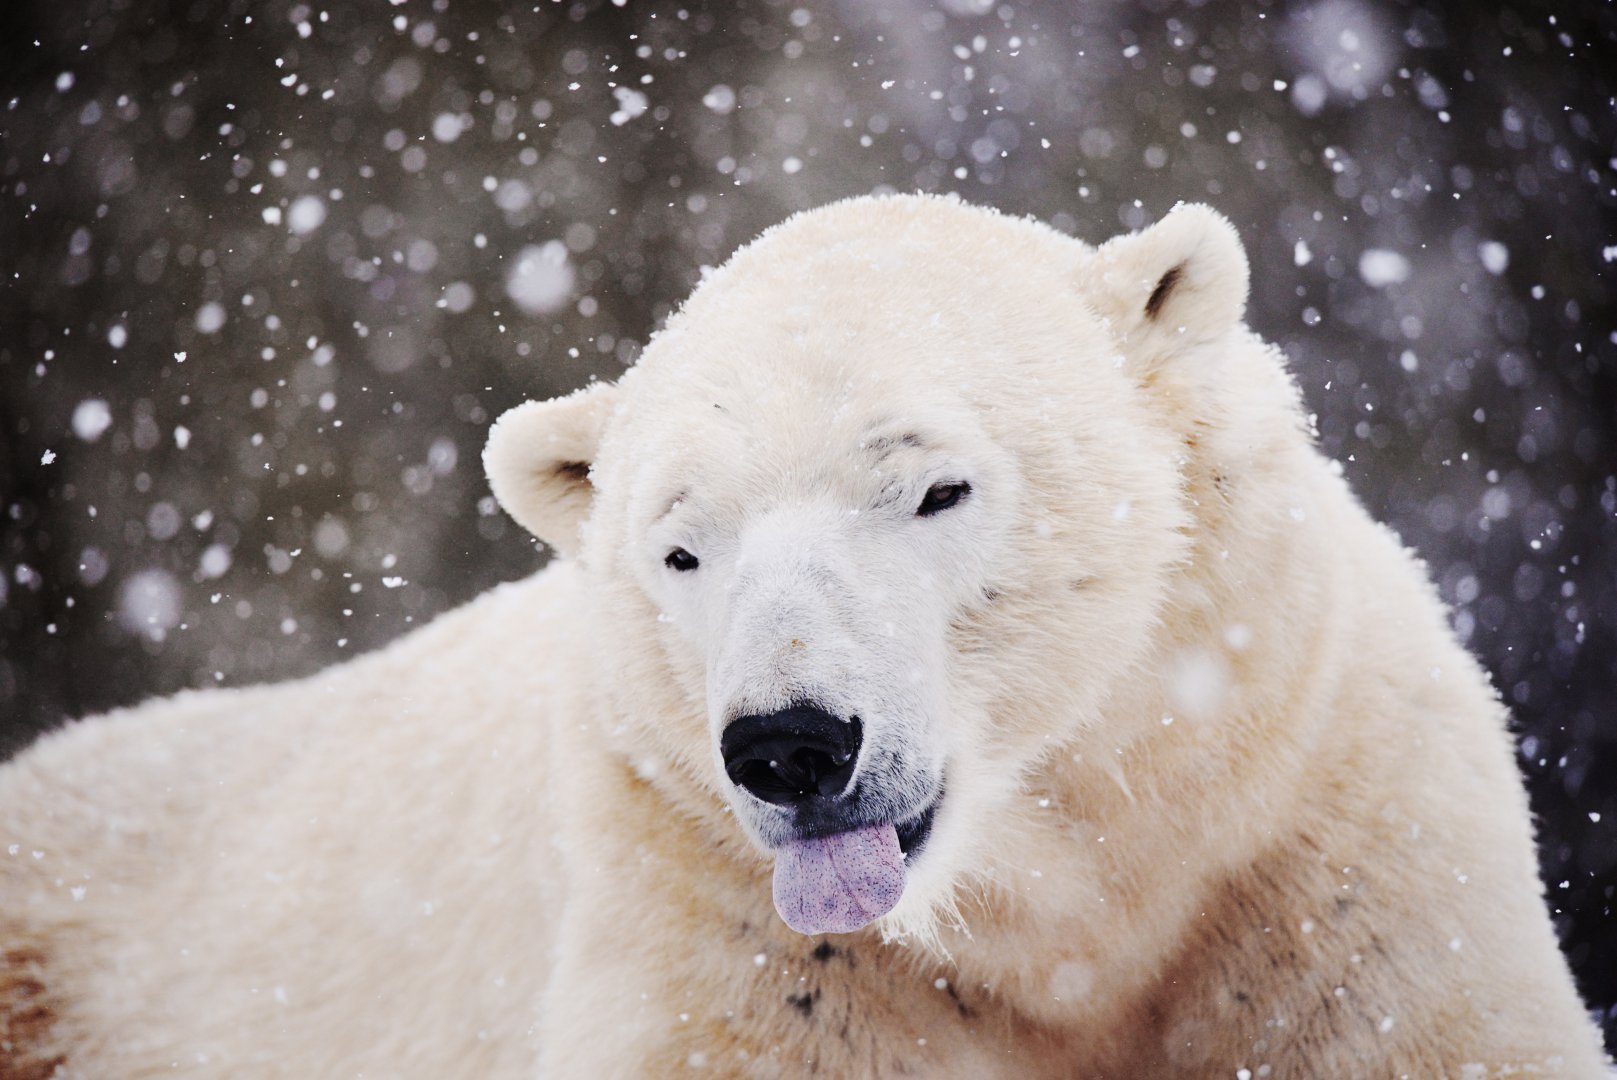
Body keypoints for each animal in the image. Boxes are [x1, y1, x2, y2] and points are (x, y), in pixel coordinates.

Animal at [1, 195, 1607, 1078]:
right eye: (679, 545)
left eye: (936, 487)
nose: (789, 746)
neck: (1062, 910)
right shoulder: (712, 904)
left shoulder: (1327, 843)